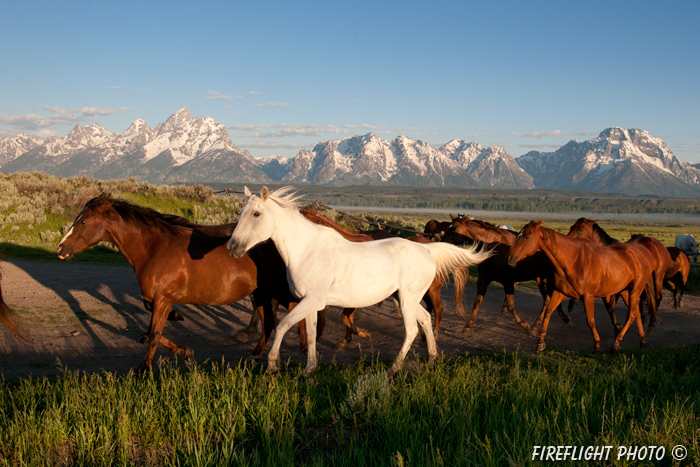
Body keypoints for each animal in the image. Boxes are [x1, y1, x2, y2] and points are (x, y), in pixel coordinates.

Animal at [227, 186, 490, 376]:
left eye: (256, 214)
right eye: (240, 213)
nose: (232, 247)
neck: (307, 250)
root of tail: (426, 249)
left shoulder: (311, 301)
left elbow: (283, 325)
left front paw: (273, 364)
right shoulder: (311, 303)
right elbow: (310, 334)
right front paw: (309, 369)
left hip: (407, 301)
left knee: (412, 330)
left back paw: (393, 369)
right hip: (409, 299)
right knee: (425, 319)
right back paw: (432, 358)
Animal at [508, 221, 656, 352]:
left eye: (527, 237)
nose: (509, 258)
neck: (573, 260)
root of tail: (644, 254)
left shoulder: (588, 296)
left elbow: (590, 321)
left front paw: (597, 345)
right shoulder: (559, 292)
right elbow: (548, 312)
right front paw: (540, 342)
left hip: (636, 289)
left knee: (632, 314)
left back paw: (616, 343)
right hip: (625, 291)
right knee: (636, 311)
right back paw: (642, 341)